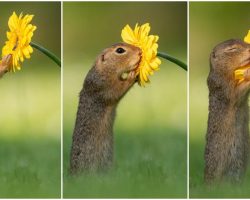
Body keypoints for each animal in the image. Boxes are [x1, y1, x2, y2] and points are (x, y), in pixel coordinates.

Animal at [69, 43, 142, 174]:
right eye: (120, 50)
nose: (139, 51)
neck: (104, 70)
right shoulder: (104, 86)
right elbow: (118, 90)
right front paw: (132, 74)